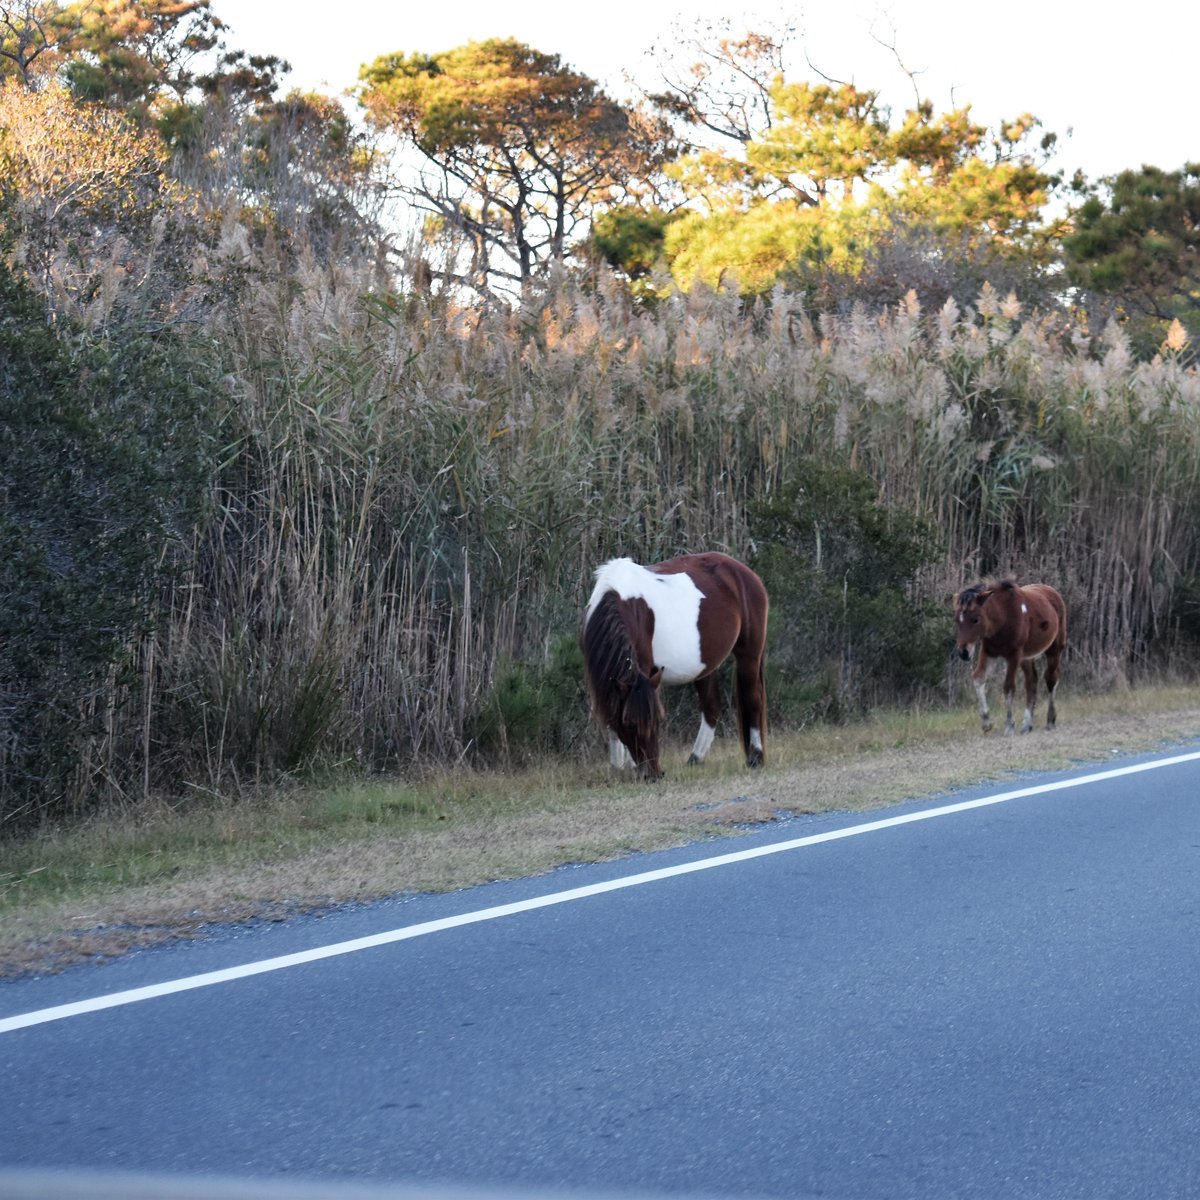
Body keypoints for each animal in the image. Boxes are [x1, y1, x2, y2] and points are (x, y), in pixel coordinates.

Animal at [580, 549, 768, 777]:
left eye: (659, 720)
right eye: (629, 724)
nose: (654, 774)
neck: (623, 602)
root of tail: (746, 573)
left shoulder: (644, 669)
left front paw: (630, 768)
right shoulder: (601, 678)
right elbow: (611, 718)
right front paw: (617, 768)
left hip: (749, 655)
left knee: (753, 700)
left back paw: (755, 757)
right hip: (705, 667)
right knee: (711, 707)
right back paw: (695, 758)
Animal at [955, 578, 1070, 734]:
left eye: (976, 619)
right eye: (957, 620)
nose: (964, 652)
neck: (1003, 618)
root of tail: (1053, 592)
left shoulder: (1013, 655)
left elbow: (1008, 687)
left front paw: (1009, 726)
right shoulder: (988, 652)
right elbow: (978, 678)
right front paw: (986, 722)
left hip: (1054, 649)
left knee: (1051, 679)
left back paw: (1050, 721)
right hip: (1026, 657)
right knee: (1031, 682)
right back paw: (1027, 724)